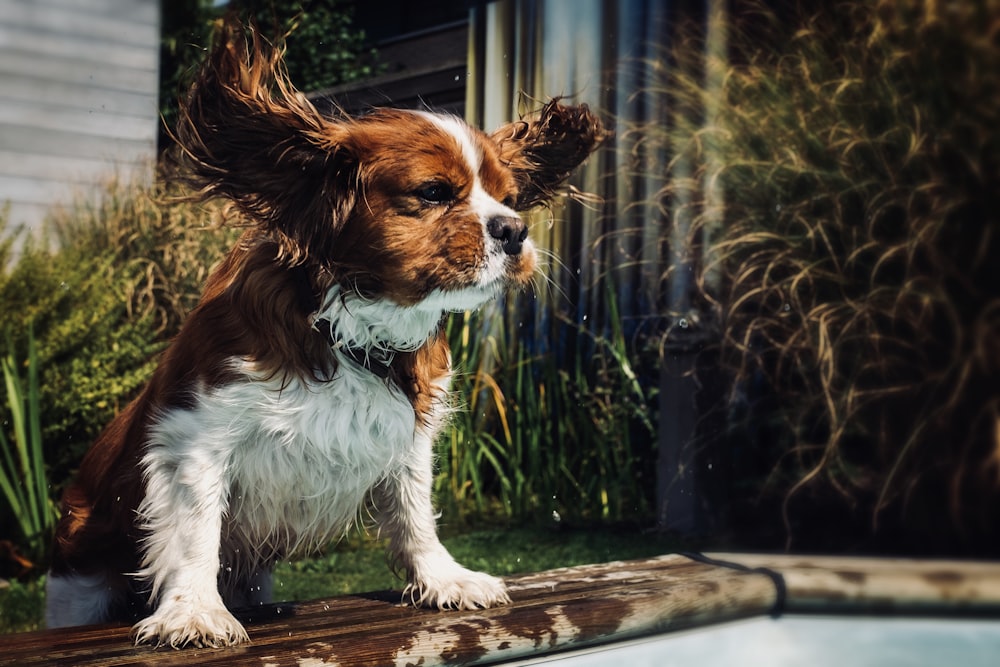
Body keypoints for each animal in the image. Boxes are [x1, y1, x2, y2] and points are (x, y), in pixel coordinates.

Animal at [45, 23, 600, 648]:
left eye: (508, 199)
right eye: (433, 192)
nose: (514, 229)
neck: (353, 328)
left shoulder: (408, 441)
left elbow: (415, 512)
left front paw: (443, 578)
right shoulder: (195, 437)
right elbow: (195, 531)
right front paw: (194, 611)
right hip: (75, 588)